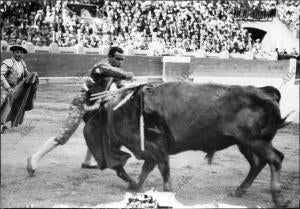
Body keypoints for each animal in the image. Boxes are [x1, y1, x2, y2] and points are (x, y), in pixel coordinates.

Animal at [83, 81, 292, 207]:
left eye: (93, 123)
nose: (100, 161)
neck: (123, 111)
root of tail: (264, 91)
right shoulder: (152, 150)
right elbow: (146, 170)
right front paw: (134, 186)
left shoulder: (157, 147)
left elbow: (163, 172)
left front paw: (167, 194)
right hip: (245, 143)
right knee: (258, 163)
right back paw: (240, 190)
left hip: (256, 141)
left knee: (275, 159)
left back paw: (278, 198)